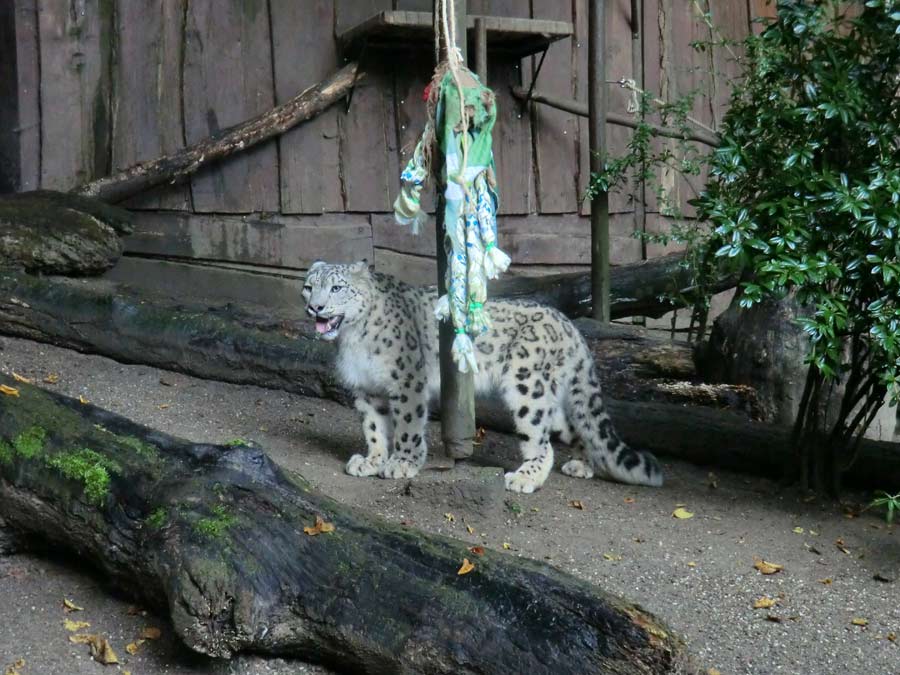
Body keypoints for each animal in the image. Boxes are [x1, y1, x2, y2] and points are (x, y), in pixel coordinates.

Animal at [306, 262, 664, 494]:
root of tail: (568, 325)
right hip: (553, 397)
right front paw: (372, 460)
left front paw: (402, 463)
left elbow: (407, 426)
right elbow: (374, 428)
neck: (352, 339)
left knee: (541, 441)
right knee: (575, 427)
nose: (316, 308)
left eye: (337, 287)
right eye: (309, 287)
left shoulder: (406, 382)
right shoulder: (366, 389)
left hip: (526, 385)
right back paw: (581, 465)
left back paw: (525, 478)